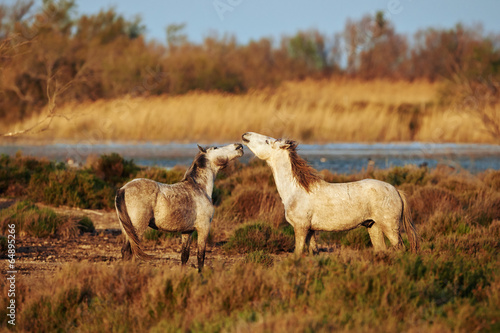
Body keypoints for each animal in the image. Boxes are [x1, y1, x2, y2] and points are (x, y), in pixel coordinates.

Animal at [115, 142, 244, 270]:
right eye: (215, 147)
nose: (239, 146)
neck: (200, 188)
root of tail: (123, 189)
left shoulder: (187, 232)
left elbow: (184, 256)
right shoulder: (204, 228)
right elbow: (200, 257)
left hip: (127, 230)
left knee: (125, 251)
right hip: (137, 228)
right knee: (128, 251)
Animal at [241, 132, 418, 254]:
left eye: (267, 140)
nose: (245, 135)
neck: (295, 191)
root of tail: (396, 190)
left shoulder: (301, 227)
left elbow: (297, 253)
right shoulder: (310, 230)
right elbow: (312, 252)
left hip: (390, 226)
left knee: (400, 248)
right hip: (373, 226)